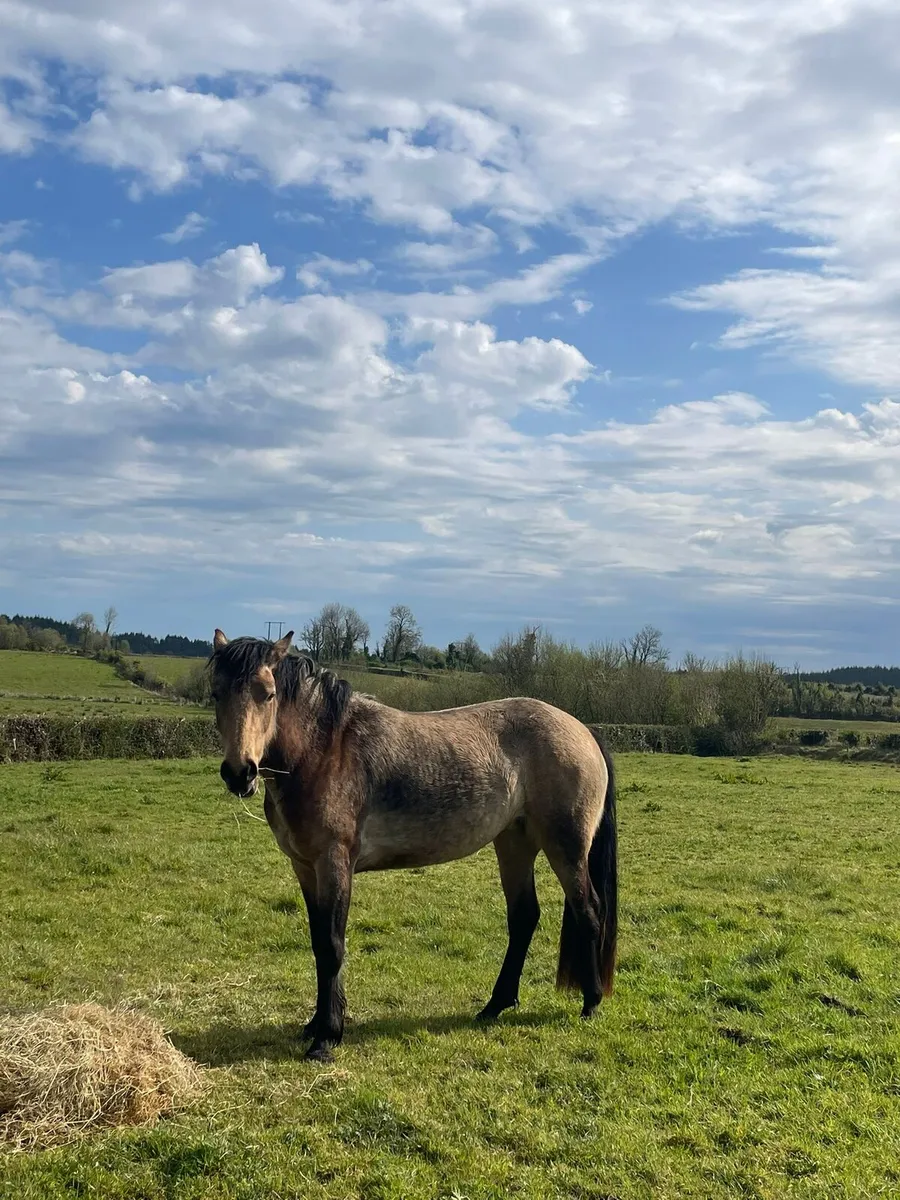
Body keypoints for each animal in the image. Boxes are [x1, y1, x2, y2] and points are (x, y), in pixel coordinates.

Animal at [208, 629, 617, 1062]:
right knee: (524, 917)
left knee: (589, 912)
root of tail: (583, 730)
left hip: (566, 847)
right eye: (216, 693)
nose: (240, 773)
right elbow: (319, 942)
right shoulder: (305, 867)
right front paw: (315, 1024)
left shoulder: (334, 863)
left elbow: (333, 946)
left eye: (268, 694)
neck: (325, 751)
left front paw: (327, 1038)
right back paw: (494, 1006)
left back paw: (590, 1003)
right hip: (513, 842)